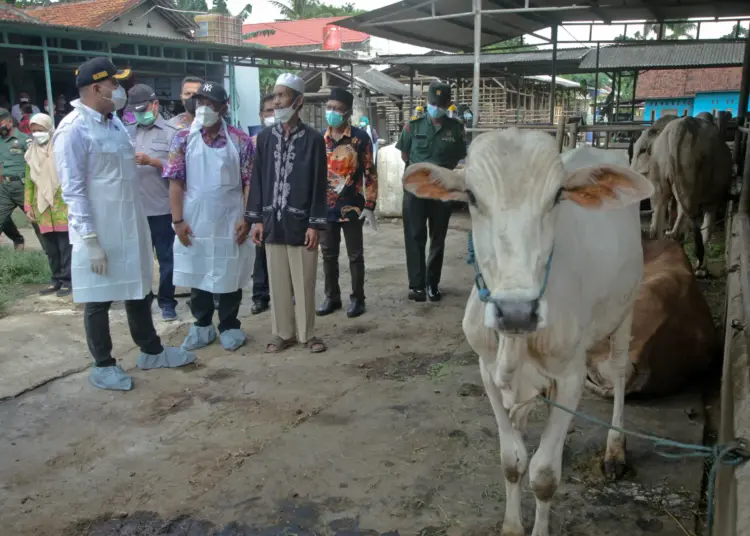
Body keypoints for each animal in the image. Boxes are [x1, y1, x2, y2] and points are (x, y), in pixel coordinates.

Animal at [402, 132, 656, 536]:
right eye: (471, 196)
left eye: (557, 196)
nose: (516, 311)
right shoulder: (487, 371)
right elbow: (512, 460)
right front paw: (511, 525)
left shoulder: (570, 376)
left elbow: (544, 475)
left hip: (626, 308)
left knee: (618, 372)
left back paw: (616, 449)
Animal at [636, 116, 736, 276]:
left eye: (642, 150)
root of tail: (679, 127)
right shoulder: (713, 199)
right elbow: (707, 226)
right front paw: (701, 269)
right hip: (688, 173)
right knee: (687, 217)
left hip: (662, 168)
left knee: (661, 212)